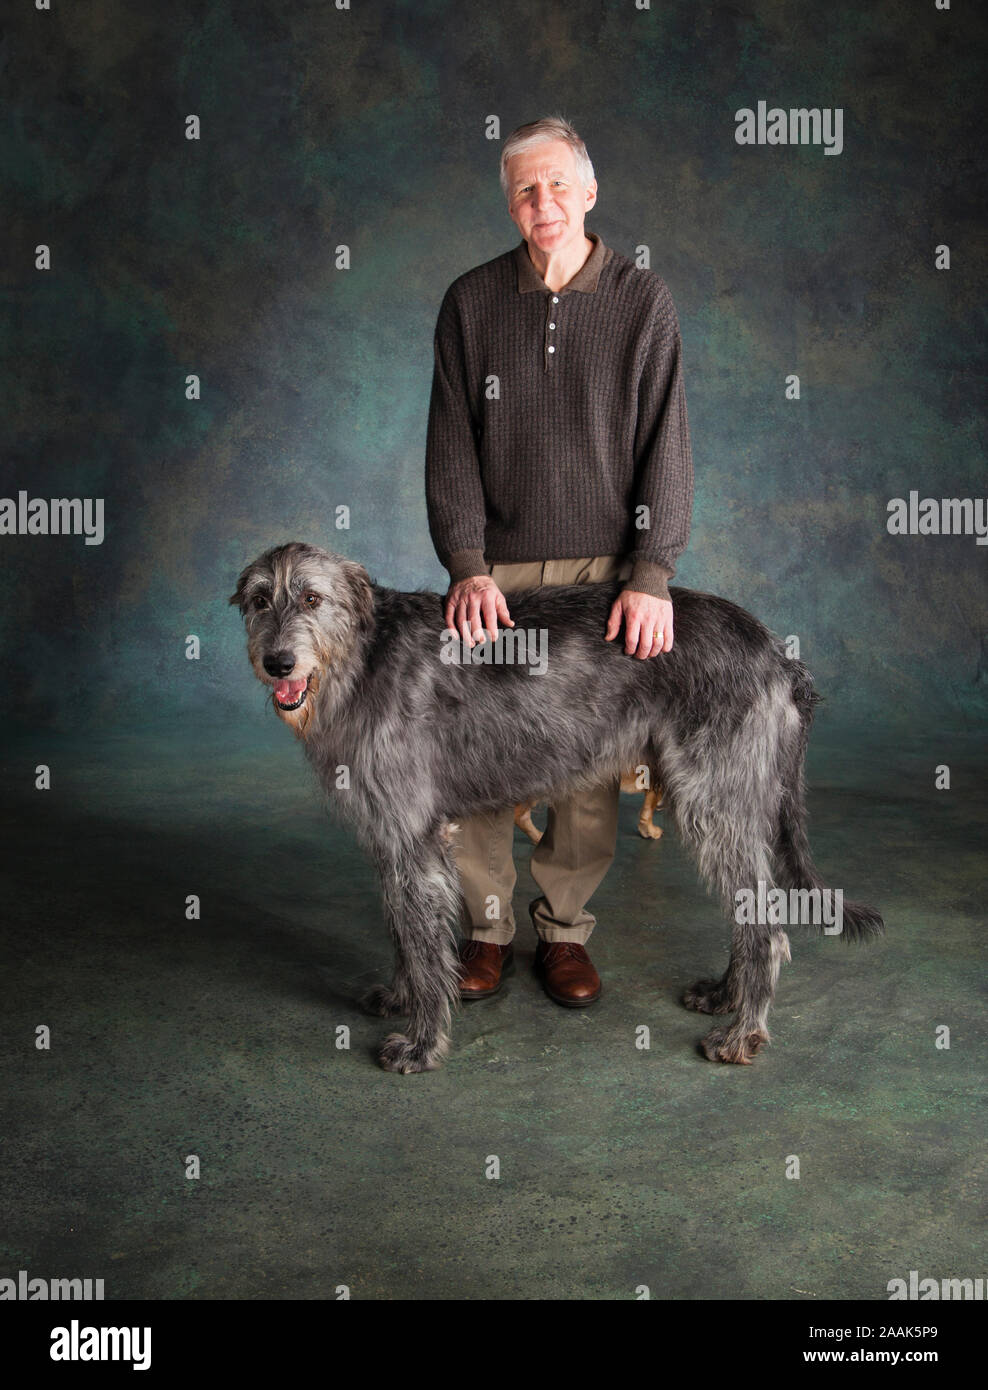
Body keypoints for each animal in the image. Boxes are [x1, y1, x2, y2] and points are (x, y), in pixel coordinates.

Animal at [229, 542, 883, 1073]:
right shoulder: (390, 836)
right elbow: (402, 932)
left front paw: (422, 1042)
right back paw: (725, 997)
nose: (278, 663)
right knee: (750, 914)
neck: (361, 658)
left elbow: (422, 944)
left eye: (311, 598)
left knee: (767, 929)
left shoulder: (413, 837)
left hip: (713, 801)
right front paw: (400, 997)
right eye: (260, 600)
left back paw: (741, 1033)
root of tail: (778, 653)